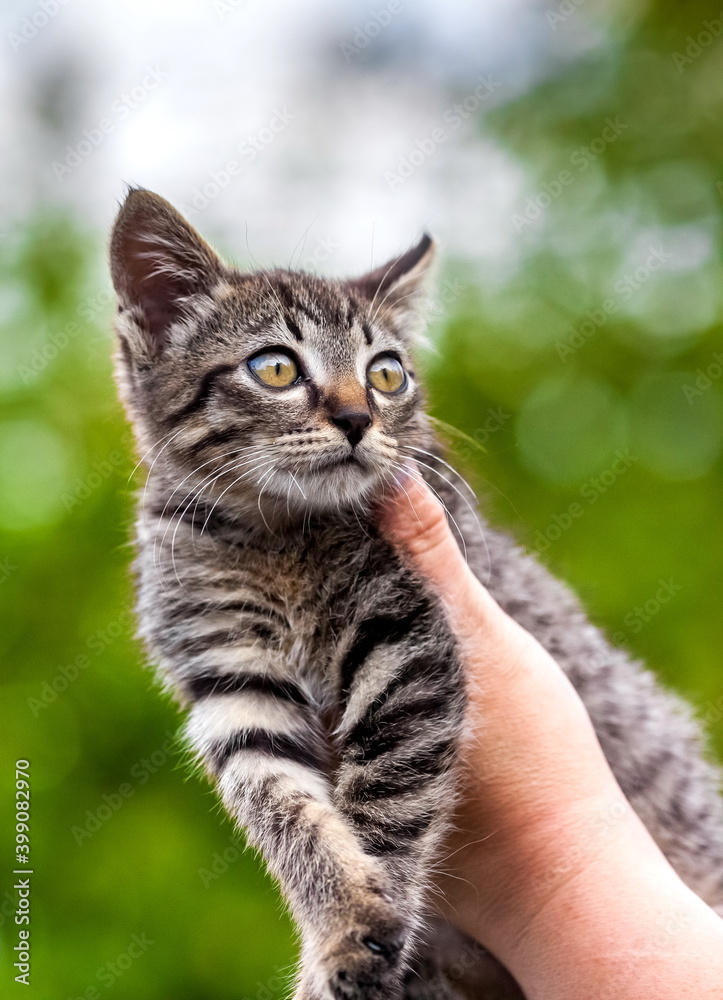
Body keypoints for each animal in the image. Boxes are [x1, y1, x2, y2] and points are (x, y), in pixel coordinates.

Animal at [109, 189, 723, 1000]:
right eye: (275, 368)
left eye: (387, 374)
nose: (356, 417)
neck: (276, 532)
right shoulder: (231, 680)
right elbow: (280, 805)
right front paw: (344, 921)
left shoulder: (406, 643)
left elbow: (386, 803)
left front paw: (347, 940)